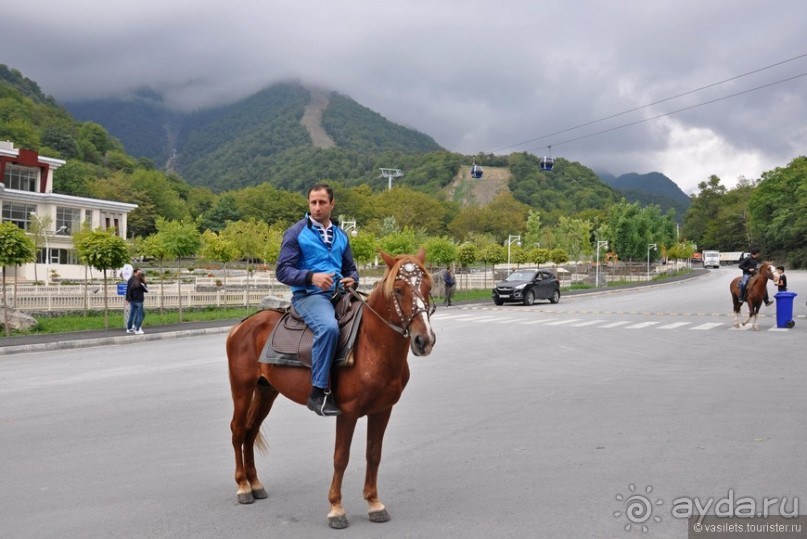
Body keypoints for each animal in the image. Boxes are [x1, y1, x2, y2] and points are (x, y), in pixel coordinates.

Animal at [224, 251, 438, 528]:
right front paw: (336, 508)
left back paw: (255, 484)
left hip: (266, 391)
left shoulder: (382, 410)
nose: (424, 340)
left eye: (428, 287)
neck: (371, 345)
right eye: (398, 290)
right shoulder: (347, 413)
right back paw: (242, 486)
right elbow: (341, 457)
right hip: (242, 388)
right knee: (238, 431)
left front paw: (374, 503)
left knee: (250, 431)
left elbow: (374, 454)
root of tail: (242, 325)